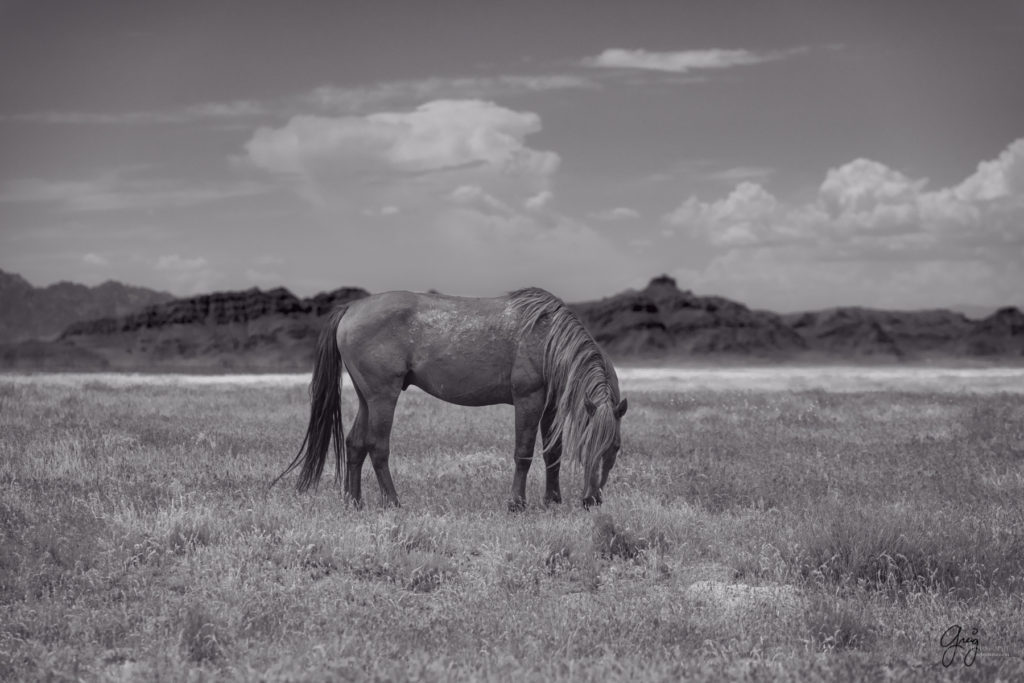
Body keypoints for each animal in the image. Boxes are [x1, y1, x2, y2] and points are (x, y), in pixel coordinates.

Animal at [272, 286, 622, 509]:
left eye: (615, 448)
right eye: (588, 446)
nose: (592, 500)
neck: (546, 336)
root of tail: (351, 309)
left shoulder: (550, 405)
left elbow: (553, 453)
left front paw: (552, 500)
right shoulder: (528, 401)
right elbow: (523, 453)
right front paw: (516, 504)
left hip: (366, 398)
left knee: (355, 444)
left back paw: (354, 502)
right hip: (383, 397)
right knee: (377, 447)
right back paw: (393, 502)